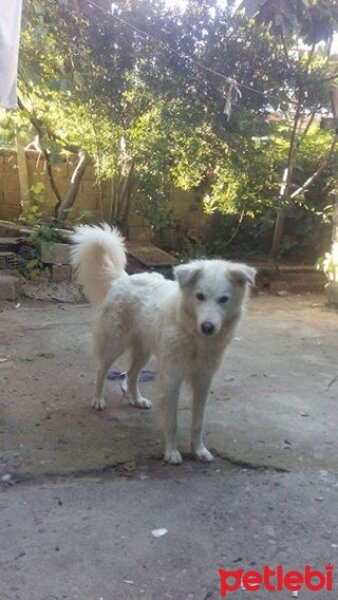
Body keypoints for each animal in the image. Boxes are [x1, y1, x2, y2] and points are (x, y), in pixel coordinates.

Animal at [72, 225, 256, 464]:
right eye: (200, 296)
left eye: (224, 299)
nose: (208, 327)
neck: (192, 335)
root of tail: (123, 279)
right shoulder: (172, 379)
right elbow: (171, 422)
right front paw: (171, 452)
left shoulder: (203, 380)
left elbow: (198, 421)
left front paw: (199, 450)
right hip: (114, 344)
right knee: (101, 370)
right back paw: (98, 400)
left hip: (144, 352)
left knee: (131, 374)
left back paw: (137, 399)